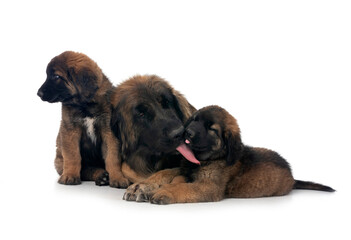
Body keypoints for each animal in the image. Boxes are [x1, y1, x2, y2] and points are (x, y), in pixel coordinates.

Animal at [37, 51, 131, 188]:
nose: (38, 93)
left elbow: (112, 157)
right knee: (85, 170)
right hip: (59, 160)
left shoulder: (109, 131)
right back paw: (100, 176)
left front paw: (117, 178)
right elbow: (73, 156)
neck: (85, 105)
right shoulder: (70, 130)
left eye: (56, 76)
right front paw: (70, 175)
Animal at [124, 105, 336, 204]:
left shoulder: (209, 187)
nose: (187, 133)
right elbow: (167, 174)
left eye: (212, 129)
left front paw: (164, 192)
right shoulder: (185, 170)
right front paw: (145, 187)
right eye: (195, 120)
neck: (205, 160)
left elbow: (183, 188)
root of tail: (293, 178)